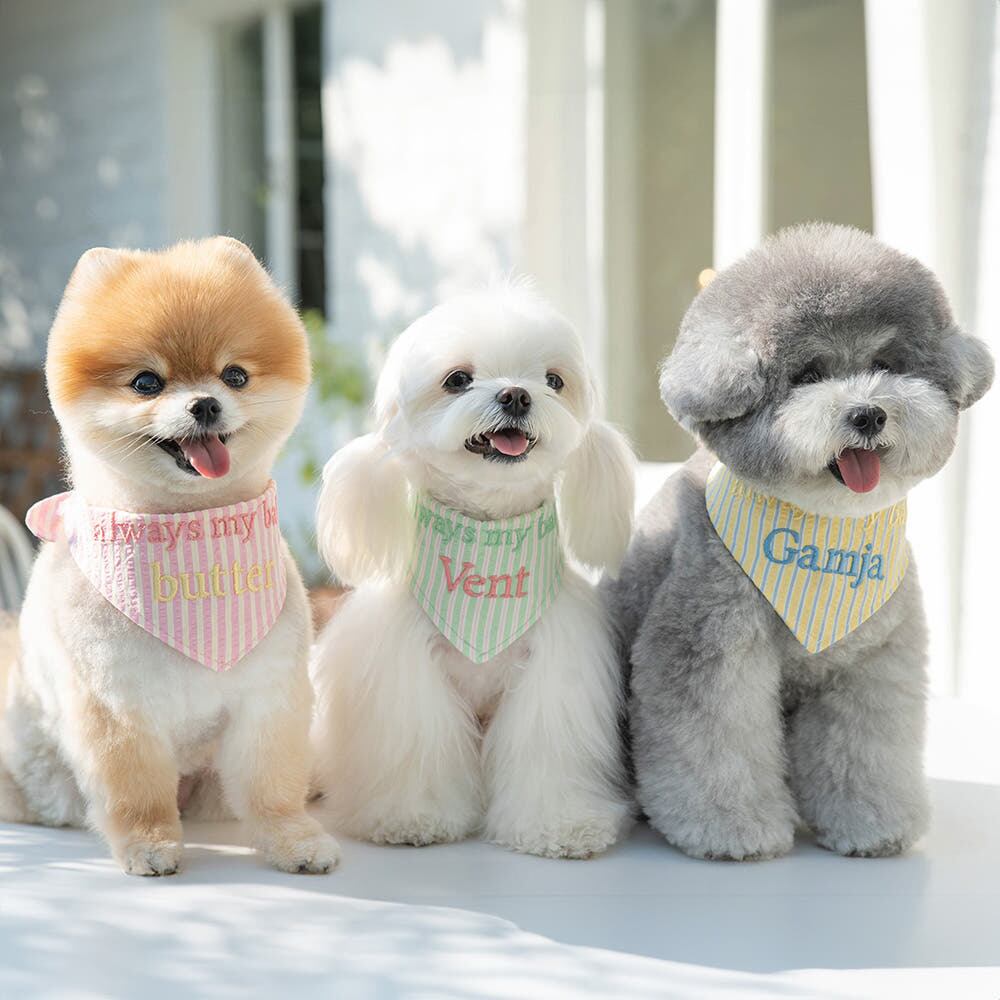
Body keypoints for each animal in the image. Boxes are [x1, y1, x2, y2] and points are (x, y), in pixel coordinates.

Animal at [0, 237, 340, 876]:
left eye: (235, 375)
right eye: (146, 383)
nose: (205, 404)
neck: (186, 532)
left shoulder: (268, 697)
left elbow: (272, 786)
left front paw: (293, 840)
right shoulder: (118, 706)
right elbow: (136, 792)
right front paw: (149, 845)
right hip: (47, 776)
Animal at [311, 284, 635, 858]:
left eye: (554, 380)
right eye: (457, 379)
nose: (517, 396)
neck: (487, 541)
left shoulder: (553, 670)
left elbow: (546, 750)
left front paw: (561, 825)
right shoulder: (409, 671)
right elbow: (419, 747)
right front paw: (411, 816)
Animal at [605, 224, 994, 861]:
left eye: (885, 363)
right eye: (808, 375)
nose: (868, 414)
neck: (823, 526)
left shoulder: (871, 663)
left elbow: (864, 749)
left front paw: (871, 822)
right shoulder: (711, 644)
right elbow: (715, 742)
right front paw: (730, 827)